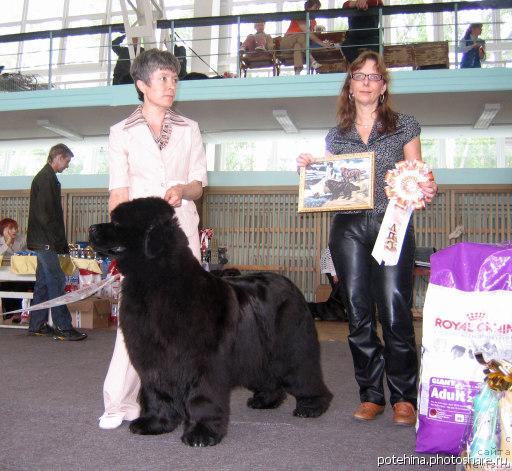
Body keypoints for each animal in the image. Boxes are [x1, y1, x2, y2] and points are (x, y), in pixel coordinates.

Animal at [89, 197, 332, 448]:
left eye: (118, 223)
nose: (92, 228)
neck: (157, 282)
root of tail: (290, 284)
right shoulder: (152, 357)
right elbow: (157, 392)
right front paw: (155, 423)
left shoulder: (202, 361)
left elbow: (201, 397)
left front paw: (201, 434)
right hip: (258, 353)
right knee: (268, 375)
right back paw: (266, 399)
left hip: (292, 346)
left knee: (304, 372)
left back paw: (312, 406)